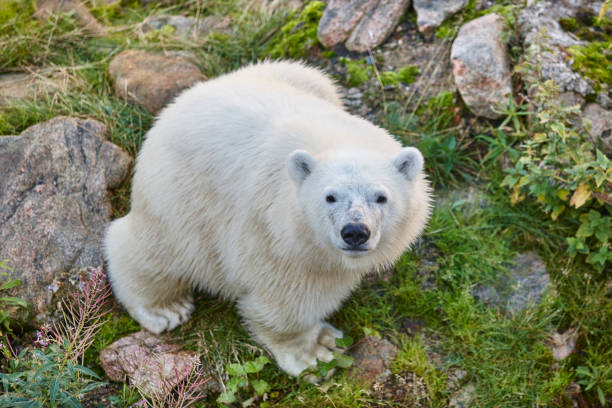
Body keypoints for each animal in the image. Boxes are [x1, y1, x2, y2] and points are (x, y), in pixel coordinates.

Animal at [104, 59, 430, 376]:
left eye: (381, 196)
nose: (355, 232)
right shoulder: (270, 227)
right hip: (181, 194)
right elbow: (286, 295)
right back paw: (164, 308)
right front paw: (316, 352)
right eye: (330, 196)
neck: (333, 139)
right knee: (160, 248)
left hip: (303, 76)